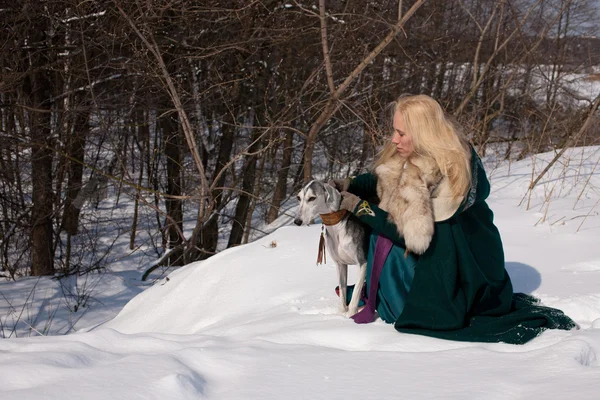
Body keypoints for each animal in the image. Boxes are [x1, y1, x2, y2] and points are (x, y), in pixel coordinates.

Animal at [292, 180, 368, 318]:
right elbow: (342, 292)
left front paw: (351, 315)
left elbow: (355, 292)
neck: (337, 227)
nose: (297, 221)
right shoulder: (340, 264)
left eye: (312, 198)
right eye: (298, 198)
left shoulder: (363, 263)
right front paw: (341, 314)